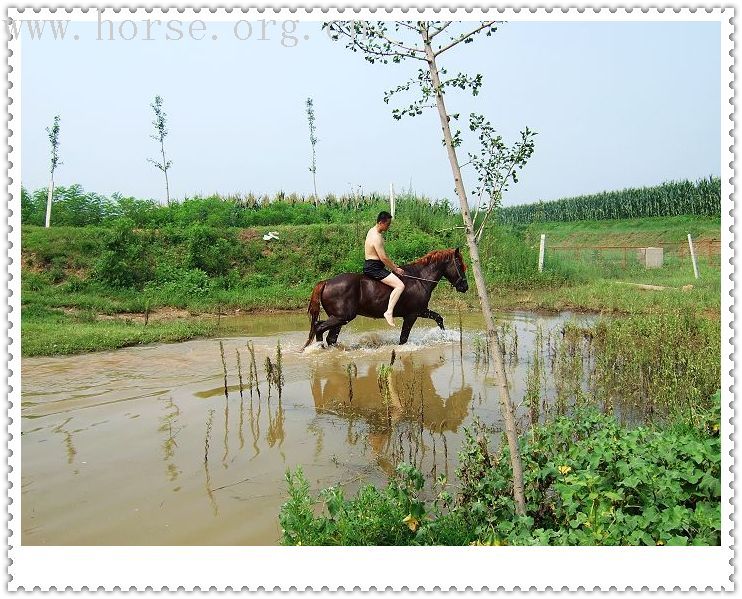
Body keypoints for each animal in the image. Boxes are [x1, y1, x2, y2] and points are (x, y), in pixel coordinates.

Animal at [304, 250, 470, 352]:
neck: (419, 279)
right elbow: (403, 338)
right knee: (319, 327)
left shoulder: (421, 311)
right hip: (342, 317)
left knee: (328, 335)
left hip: (339, 318)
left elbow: (439, 318)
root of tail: (326, 282)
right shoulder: (412, 315)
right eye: (460, 265)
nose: (465, 287)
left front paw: (445, 336)